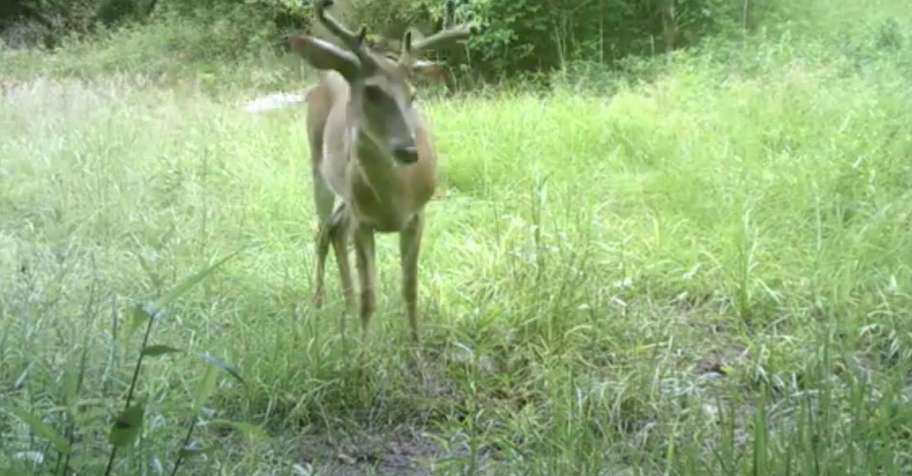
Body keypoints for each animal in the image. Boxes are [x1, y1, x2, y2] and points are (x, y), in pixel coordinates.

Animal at [288, 0, 471, 342]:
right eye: (372, 92)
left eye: (413, 94)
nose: (409, 150)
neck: (394, 200)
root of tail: (331, 74)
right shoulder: (364, 222)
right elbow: (369, 298)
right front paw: (363, 352)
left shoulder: (417, 215)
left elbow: (410, 289)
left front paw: (416, 345)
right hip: (317, 165)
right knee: (322, 231)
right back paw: (318, 303)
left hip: (346, 196)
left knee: (335, 229)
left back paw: (344, 305)